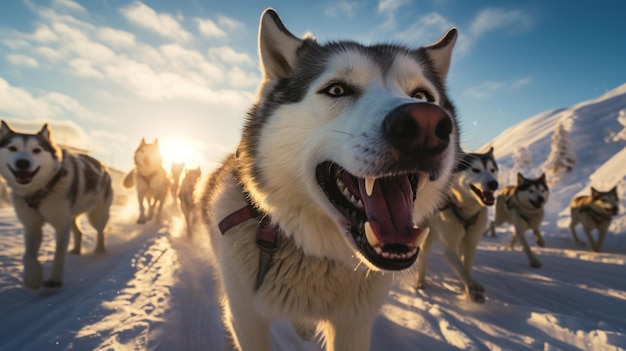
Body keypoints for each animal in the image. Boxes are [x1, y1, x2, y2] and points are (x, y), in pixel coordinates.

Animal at [0, 121, 112, 288]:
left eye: (37, 150)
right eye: (13, 148)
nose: (23, 163)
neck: (41, 189)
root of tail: (103, 166)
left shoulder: (61, 226)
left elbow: (59, 255)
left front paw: (54, 279)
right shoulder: (32, 225)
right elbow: (28, 254)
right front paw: (32, 277)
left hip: (96, 215)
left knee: (100, 231)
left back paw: (99, 249)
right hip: (70, 216)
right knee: (79, 232)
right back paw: (76, 250)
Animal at [200, 9, 458, 351]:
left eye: (422, 96)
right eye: (337, 90)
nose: (426, 124)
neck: (320, 256)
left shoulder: (353, 325)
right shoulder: (247, 318)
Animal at [414, 147, 498, 304]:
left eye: (493, 170)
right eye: (475, 170)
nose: (493, 183)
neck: (465, 210)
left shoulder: (470, 243)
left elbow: (466, 267)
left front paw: (469, 290)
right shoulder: (449, 247)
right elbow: (461, 269)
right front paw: (472, 285)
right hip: (426, 236)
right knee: (422, 258)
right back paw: (420, 281)